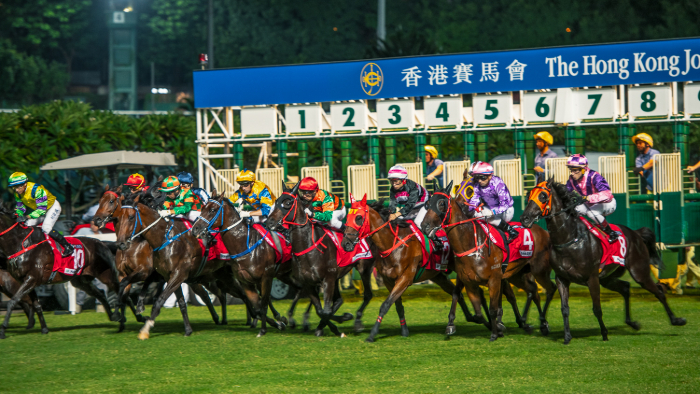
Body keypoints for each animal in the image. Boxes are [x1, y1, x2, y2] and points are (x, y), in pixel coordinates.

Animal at [0, 202, 121, 338]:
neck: (21, 243)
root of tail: (102, 242)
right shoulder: (26, 281)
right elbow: (36, 304)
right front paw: (44, 329)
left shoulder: (31, 279)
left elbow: (13, 301)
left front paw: (3, 330)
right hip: (81, 280)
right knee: (100, 293)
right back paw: (113, 316)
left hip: (105, 274)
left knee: (117, 288)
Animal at [266, 183, 378, 338]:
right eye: (276, 202)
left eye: (288, 203)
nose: (268, 222)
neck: (308, 247)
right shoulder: (309, 283)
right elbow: (321, 311)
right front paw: (329, 325)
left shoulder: (328, 279)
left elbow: (326, 311)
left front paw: (338, 325)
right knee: (339, 300)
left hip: (364, 268)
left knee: (367, 294)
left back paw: (358, 323)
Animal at [342, 195, 478, 344]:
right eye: (347, 217)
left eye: (358, 218)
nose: (345, 243)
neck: (393, 243)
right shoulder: (389, 281)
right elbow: (397, 306)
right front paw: (404, 331)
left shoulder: (405, 278)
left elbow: (385, 305)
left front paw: (372, 334)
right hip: (438, 276)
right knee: (457, 293)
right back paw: (471, 318)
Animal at [418, 182, 556, 342]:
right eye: (428, 204)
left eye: (441, 203)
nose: (425, 226)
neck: (472, 244)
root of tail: (544, 231)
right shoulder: (468, 281)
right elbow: (475, 310)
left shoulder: (494, 279)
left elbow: (493, 309)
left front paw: (495, 332)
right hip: (517, 274)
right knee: (533, 290)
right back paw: (529, 323)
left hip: (539, 271)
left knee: (548, 289)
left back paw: (541, 323)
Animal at [524, 180, 688, 344]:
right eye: (529, 195)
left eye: (543, 196)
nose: (524, 218)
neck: (569, 240)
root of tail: (635, 233)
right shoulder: (562, 278)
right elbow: (565, 309)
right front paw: (567, 336)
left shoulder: (592, 278)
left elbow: (597, 308)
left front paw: (604, 333)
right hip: (608, 278)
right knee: (626, 287)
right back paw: (632, 323)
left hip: (639, 271)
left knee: (658, 291)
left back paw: (677, 320)